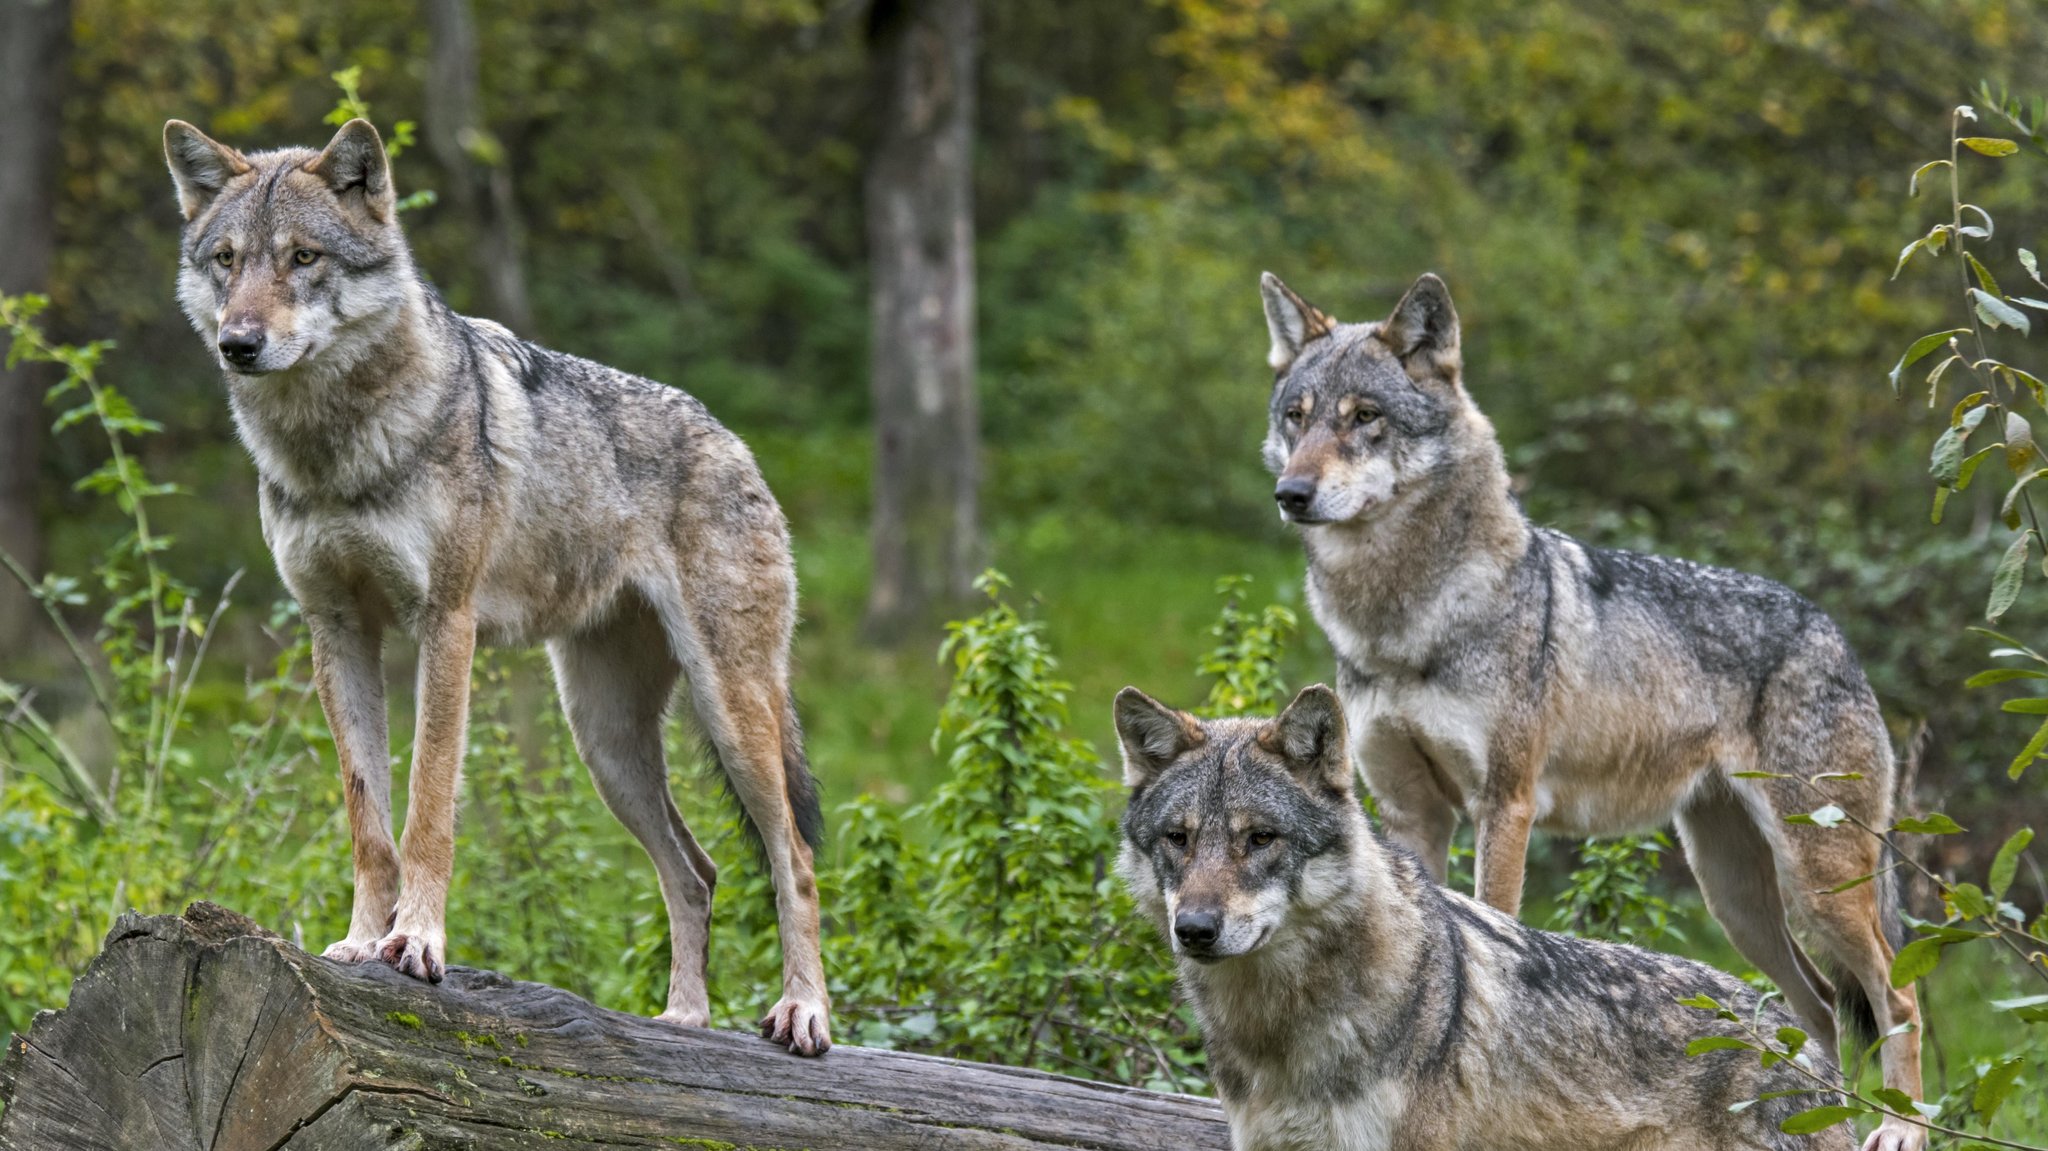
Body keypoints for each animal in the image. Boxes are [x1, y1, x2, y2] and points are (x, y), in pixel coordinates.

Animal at [159, 120, 827, 1056]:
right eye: (227, 259)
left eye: (302, 257)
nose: (239, 343)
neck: (335, 449)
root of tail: (734, 440)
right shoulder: (337, 631)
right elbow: (368, 818)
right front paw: (359, 942)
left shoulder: (447, 623)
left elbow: (428, 805)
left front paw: (417, 941)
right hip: (605, 744)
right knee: (696, 871)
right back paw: (683, 1021)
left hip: (731, 713)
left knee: (792, 859)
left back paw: (804, 1013)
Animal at [1253, 270, 1925, 1146]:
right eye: (1296, 417)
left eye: (1364, 416)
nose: (1292, 493)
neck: (1404, 619)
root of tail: (1835, 631)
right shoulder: (1411, 812)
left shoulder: (1503, 805)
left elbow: (1493, 922)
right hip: (1736, 895)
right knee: (1815, 1007)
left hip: (1818, 883)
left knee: (1898, 994)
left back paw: (1901, 1126)